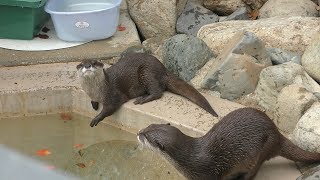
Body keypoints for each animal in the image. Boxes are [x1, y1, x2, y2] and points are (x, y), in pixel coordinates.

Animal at [76, 52, 219, 127]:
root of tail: (163, 69)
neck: (96, 91)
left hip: (146, 72)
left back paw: (142, 99)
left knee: (157, 91)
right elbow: (93, 101)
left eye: (94, 63)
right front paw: (94, 105)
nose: (87, 66)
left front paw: (96, 118)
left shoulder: (113, 95)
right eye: (81, 64)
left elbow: (110, 108)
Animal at [138, 107, 320, 179]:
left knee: (253, 171)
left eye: (147, 137)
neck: (189, 159)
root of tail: (277, 133)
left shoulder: (206, 175)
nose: (139, 133)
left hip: (262, 149)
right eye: (149, 126)